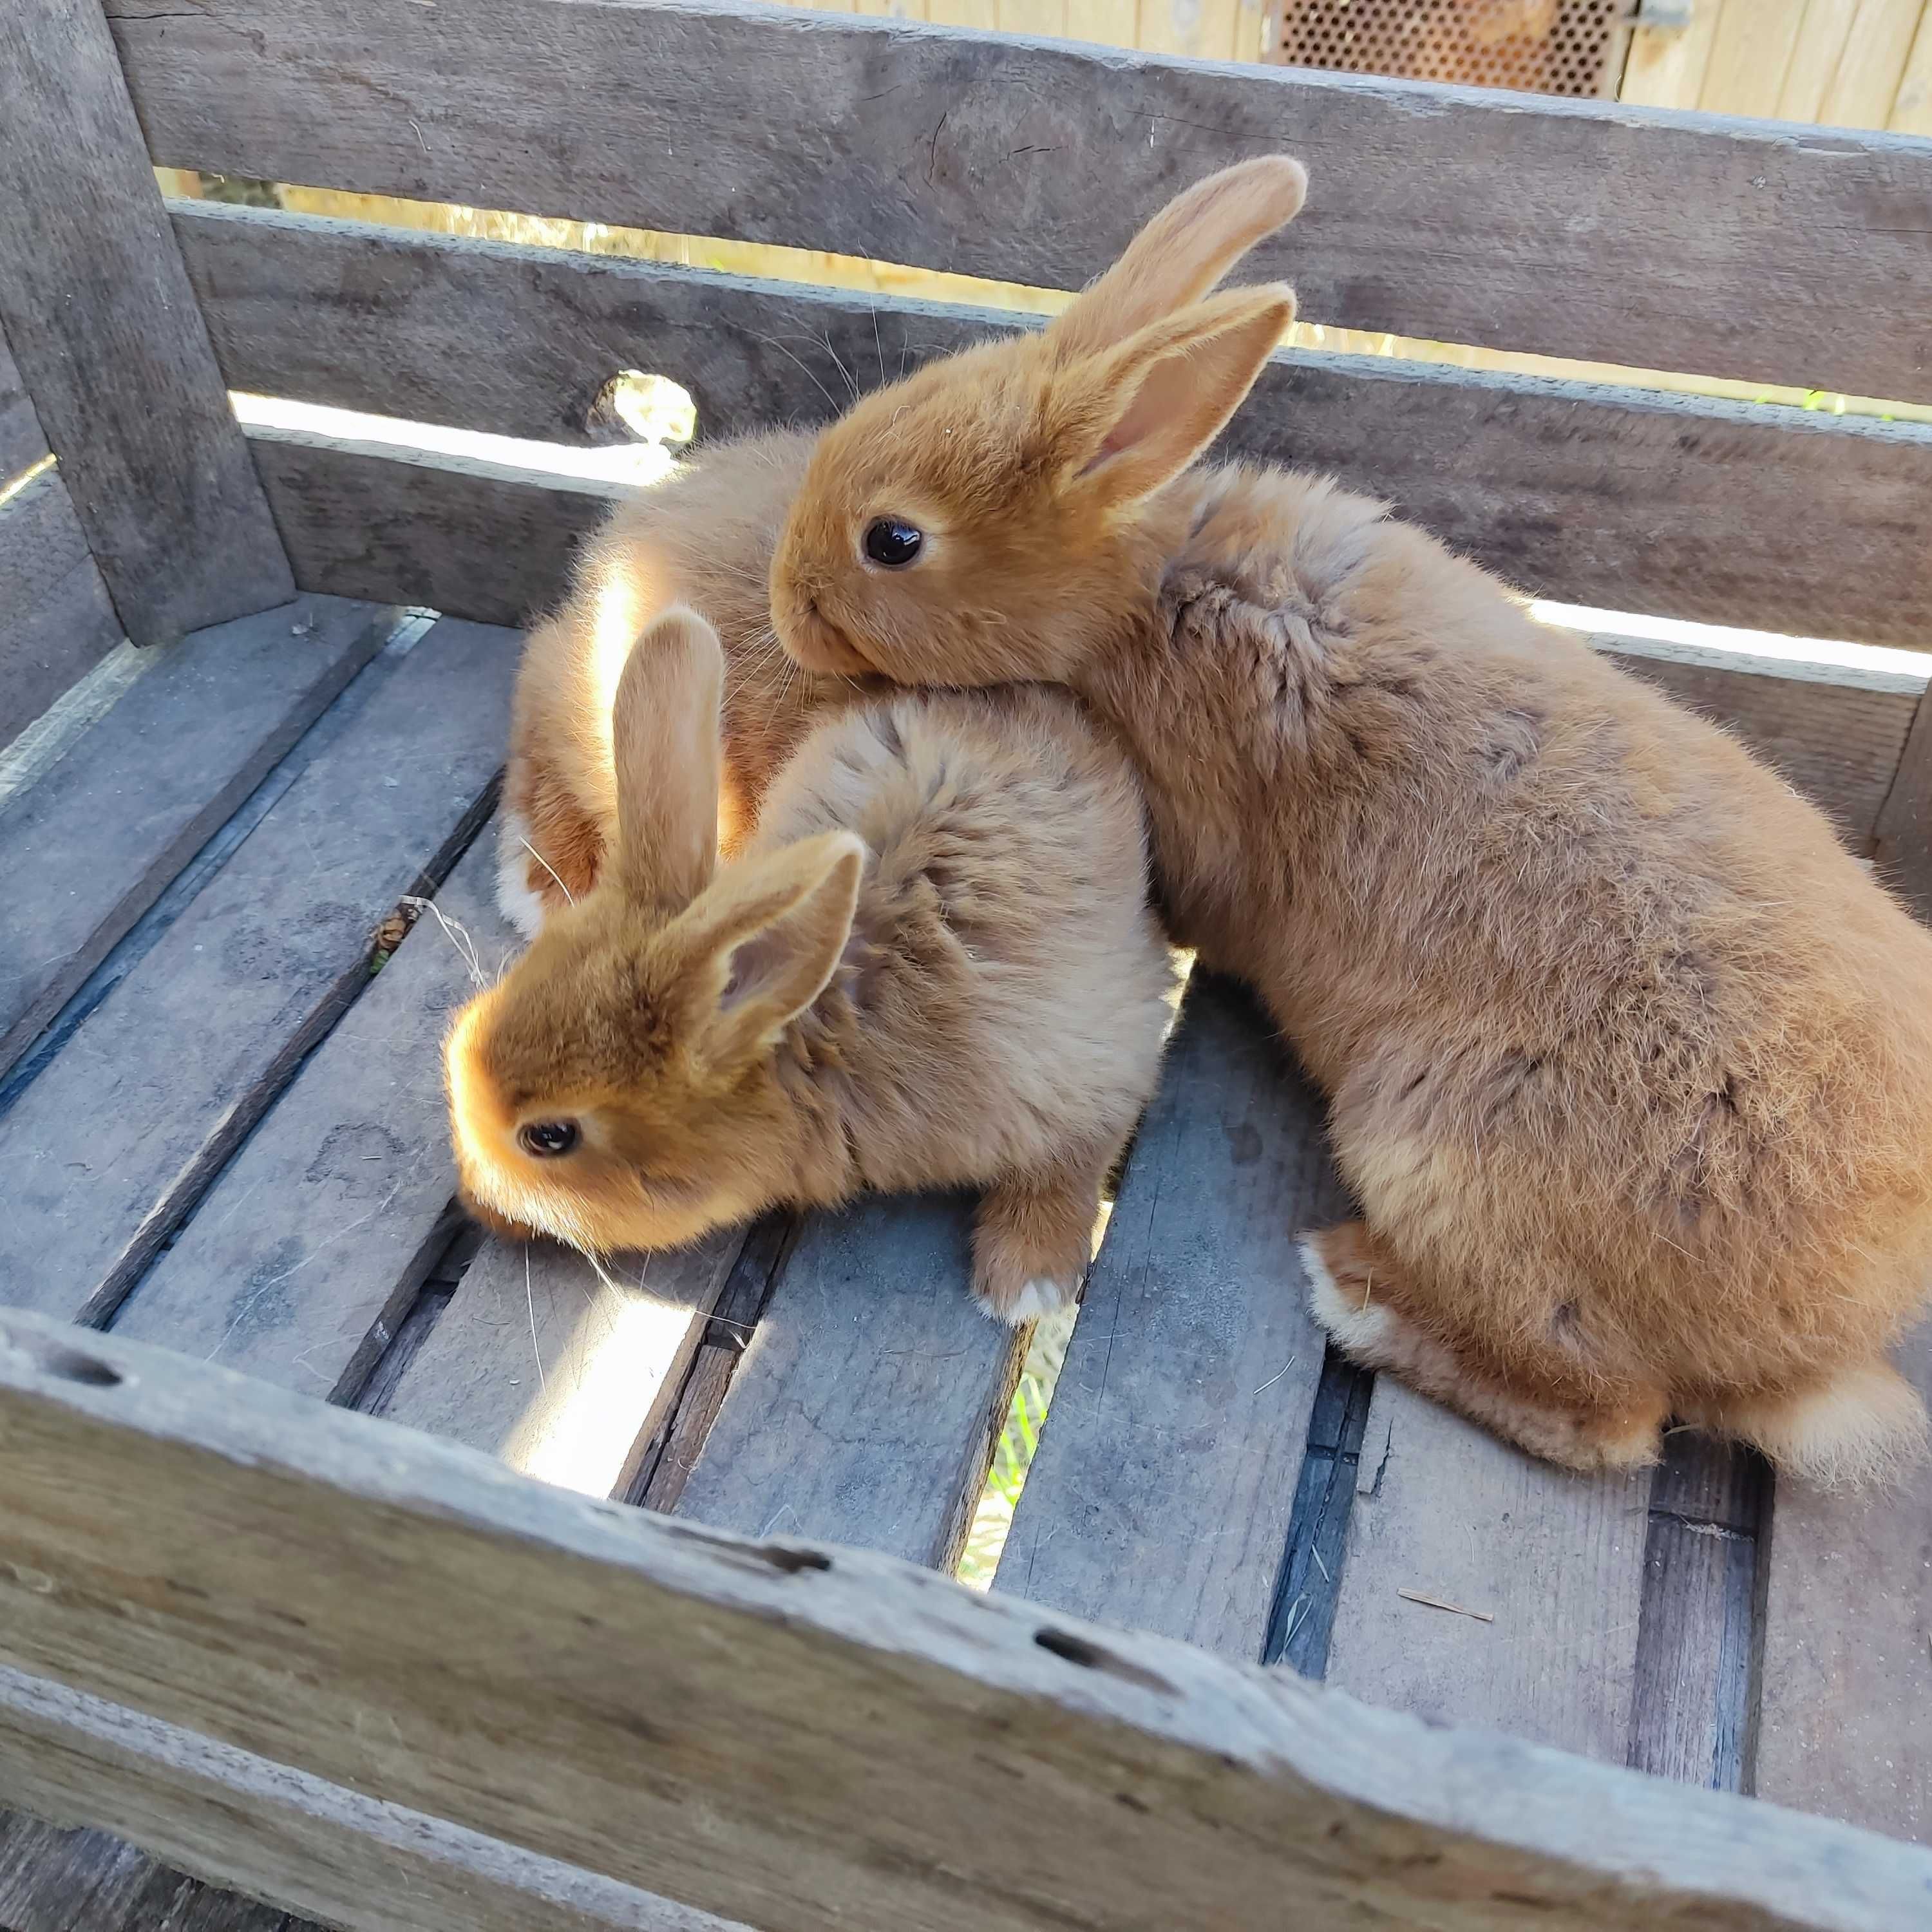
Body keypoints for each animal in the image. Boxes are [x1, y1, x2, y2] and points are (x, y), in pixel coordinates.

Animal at [448, 611, 1175, 1321]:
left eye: (550, 1136)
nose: (475, 1205)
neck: (831, 1017)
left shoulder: (1097, 1061)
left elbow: (1074, 1162)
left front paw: (1024, 1286)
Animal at [761, 158, 1932, 1484]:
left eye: (894, 540)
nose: (784, 605)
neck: (1148, 586)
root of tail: (1827, 1343)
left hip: (1437, 1159)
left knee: (1614, 1420)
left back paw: (1354, 1294)